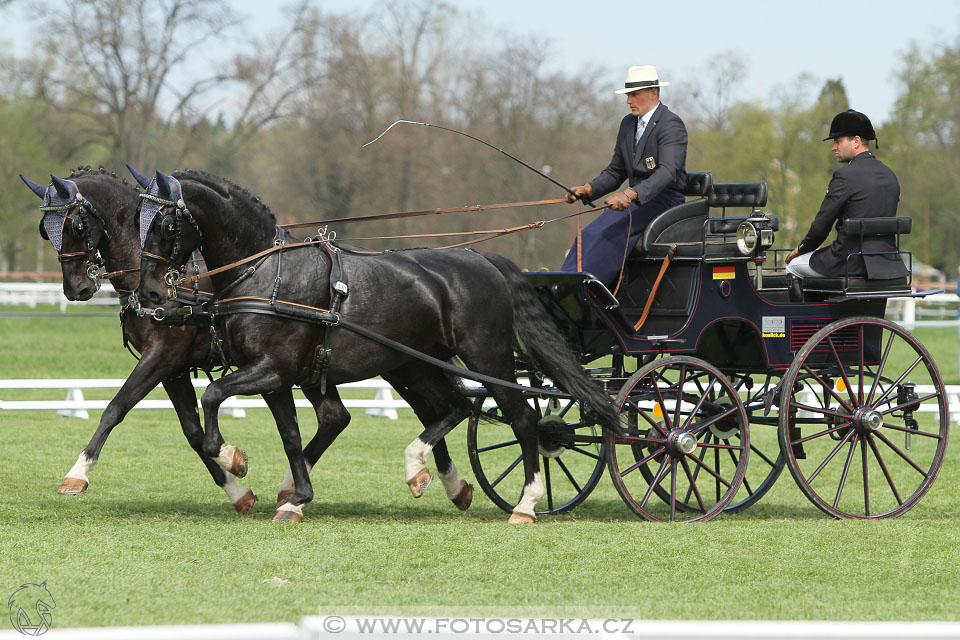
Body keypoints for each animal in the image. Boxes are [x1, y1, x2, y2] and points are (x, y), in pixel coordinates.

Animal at [133, 168, 616, 524]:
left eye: (166, 223)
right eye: (137, 220)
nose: (150, 293)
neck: (267, 272)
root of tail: (482, 259)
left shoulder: (273, 368)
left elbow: (214, 396)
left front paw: (233, 457)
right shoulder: (278, 376)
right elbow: (291, 435)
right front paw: (294, 498)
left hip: (487, 358)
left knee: (522, 420)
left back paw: (526, 503)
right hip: (415, 364)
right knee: (454, 407)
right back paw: (426, 473)